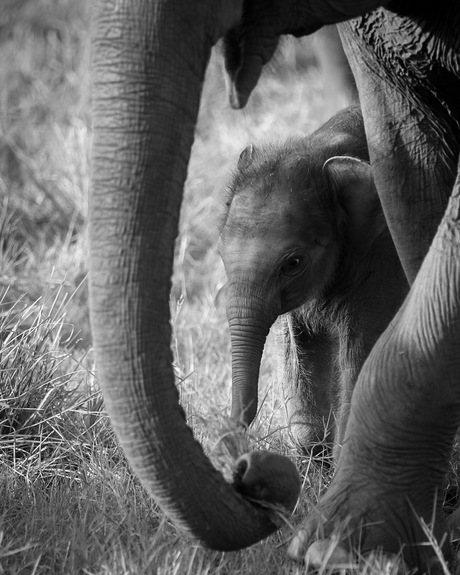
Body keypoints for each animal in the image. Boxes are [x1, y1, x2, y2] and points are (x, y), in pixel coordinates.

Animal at [220, 106, 410, 462]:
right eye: (222, 251)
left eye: (293, 263)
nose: (233, 446)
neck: (318, 149)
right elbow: (303, 349)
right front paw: (313, 461)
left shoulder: (384, 262)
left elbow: (362, 356)